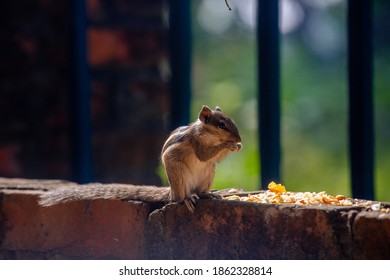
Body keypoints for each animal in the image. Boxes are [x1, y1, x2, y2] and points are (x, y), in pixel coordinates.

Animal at [38, 105, 241, 212]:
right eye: (221, 125)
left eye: (231, 121)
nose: (238, 138)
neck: (208, 134)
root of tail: (172, 192)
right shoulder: (196, 141)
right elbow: (204, 154)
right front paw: (229, 145)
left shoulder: (211, 160)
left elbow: (214, 158)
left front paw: (237, 146)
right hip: (179, 175)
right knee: (179, 199)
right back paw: (187, 199)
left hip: (209, 172)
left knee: (202, 190)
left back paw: (208, 194)